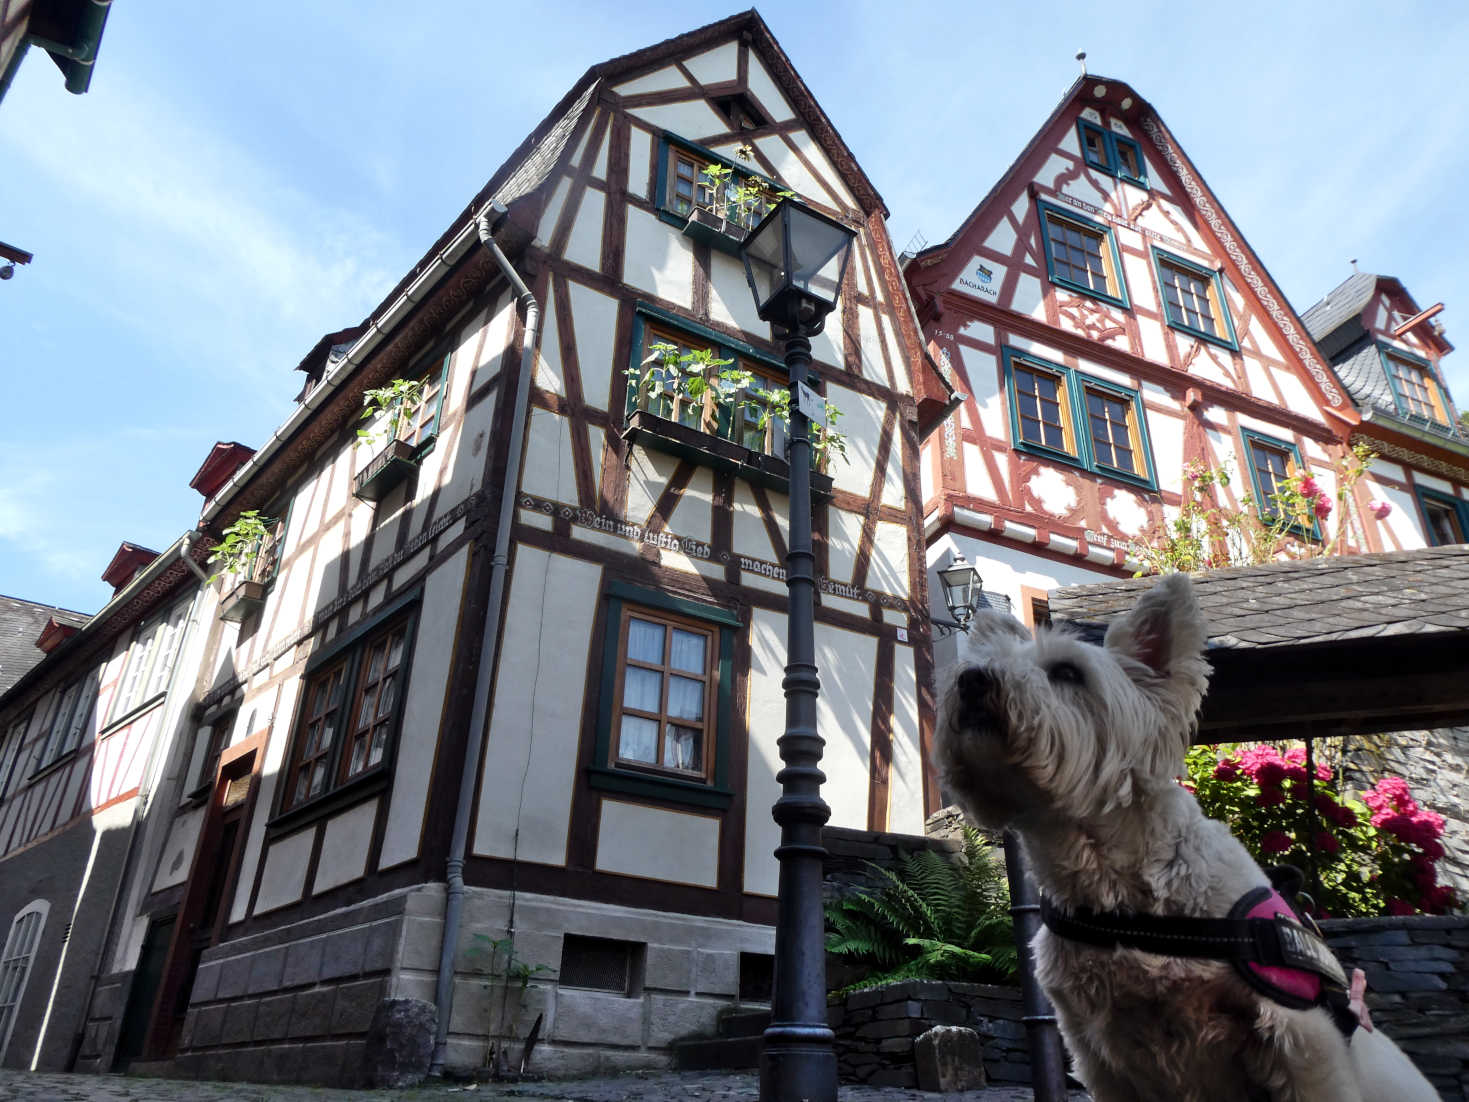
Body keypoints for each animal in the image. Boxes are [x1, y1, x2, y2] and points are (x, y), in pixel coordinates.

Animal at [934, 578, 1439, 1102]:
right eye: (985, 660)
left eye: (1067, 671)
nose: (971, 680)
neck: (1113, 890)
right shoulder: (1100, 1056)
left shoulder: (1302, 1039)